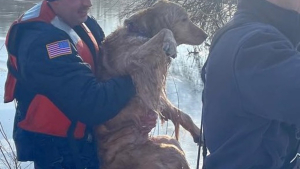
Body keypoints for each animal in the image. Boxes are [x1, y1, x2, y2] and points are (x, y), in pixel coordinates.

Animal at [95, 0, 207, 168]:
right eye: (184, 19)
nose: (206, 35)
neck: (138, 31)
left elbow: (181, 113)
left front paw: (197, 132)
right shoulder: (135, 60)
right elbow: (165, 31)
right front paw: (170, 43)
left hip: (168, 141)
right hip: (169, 150)